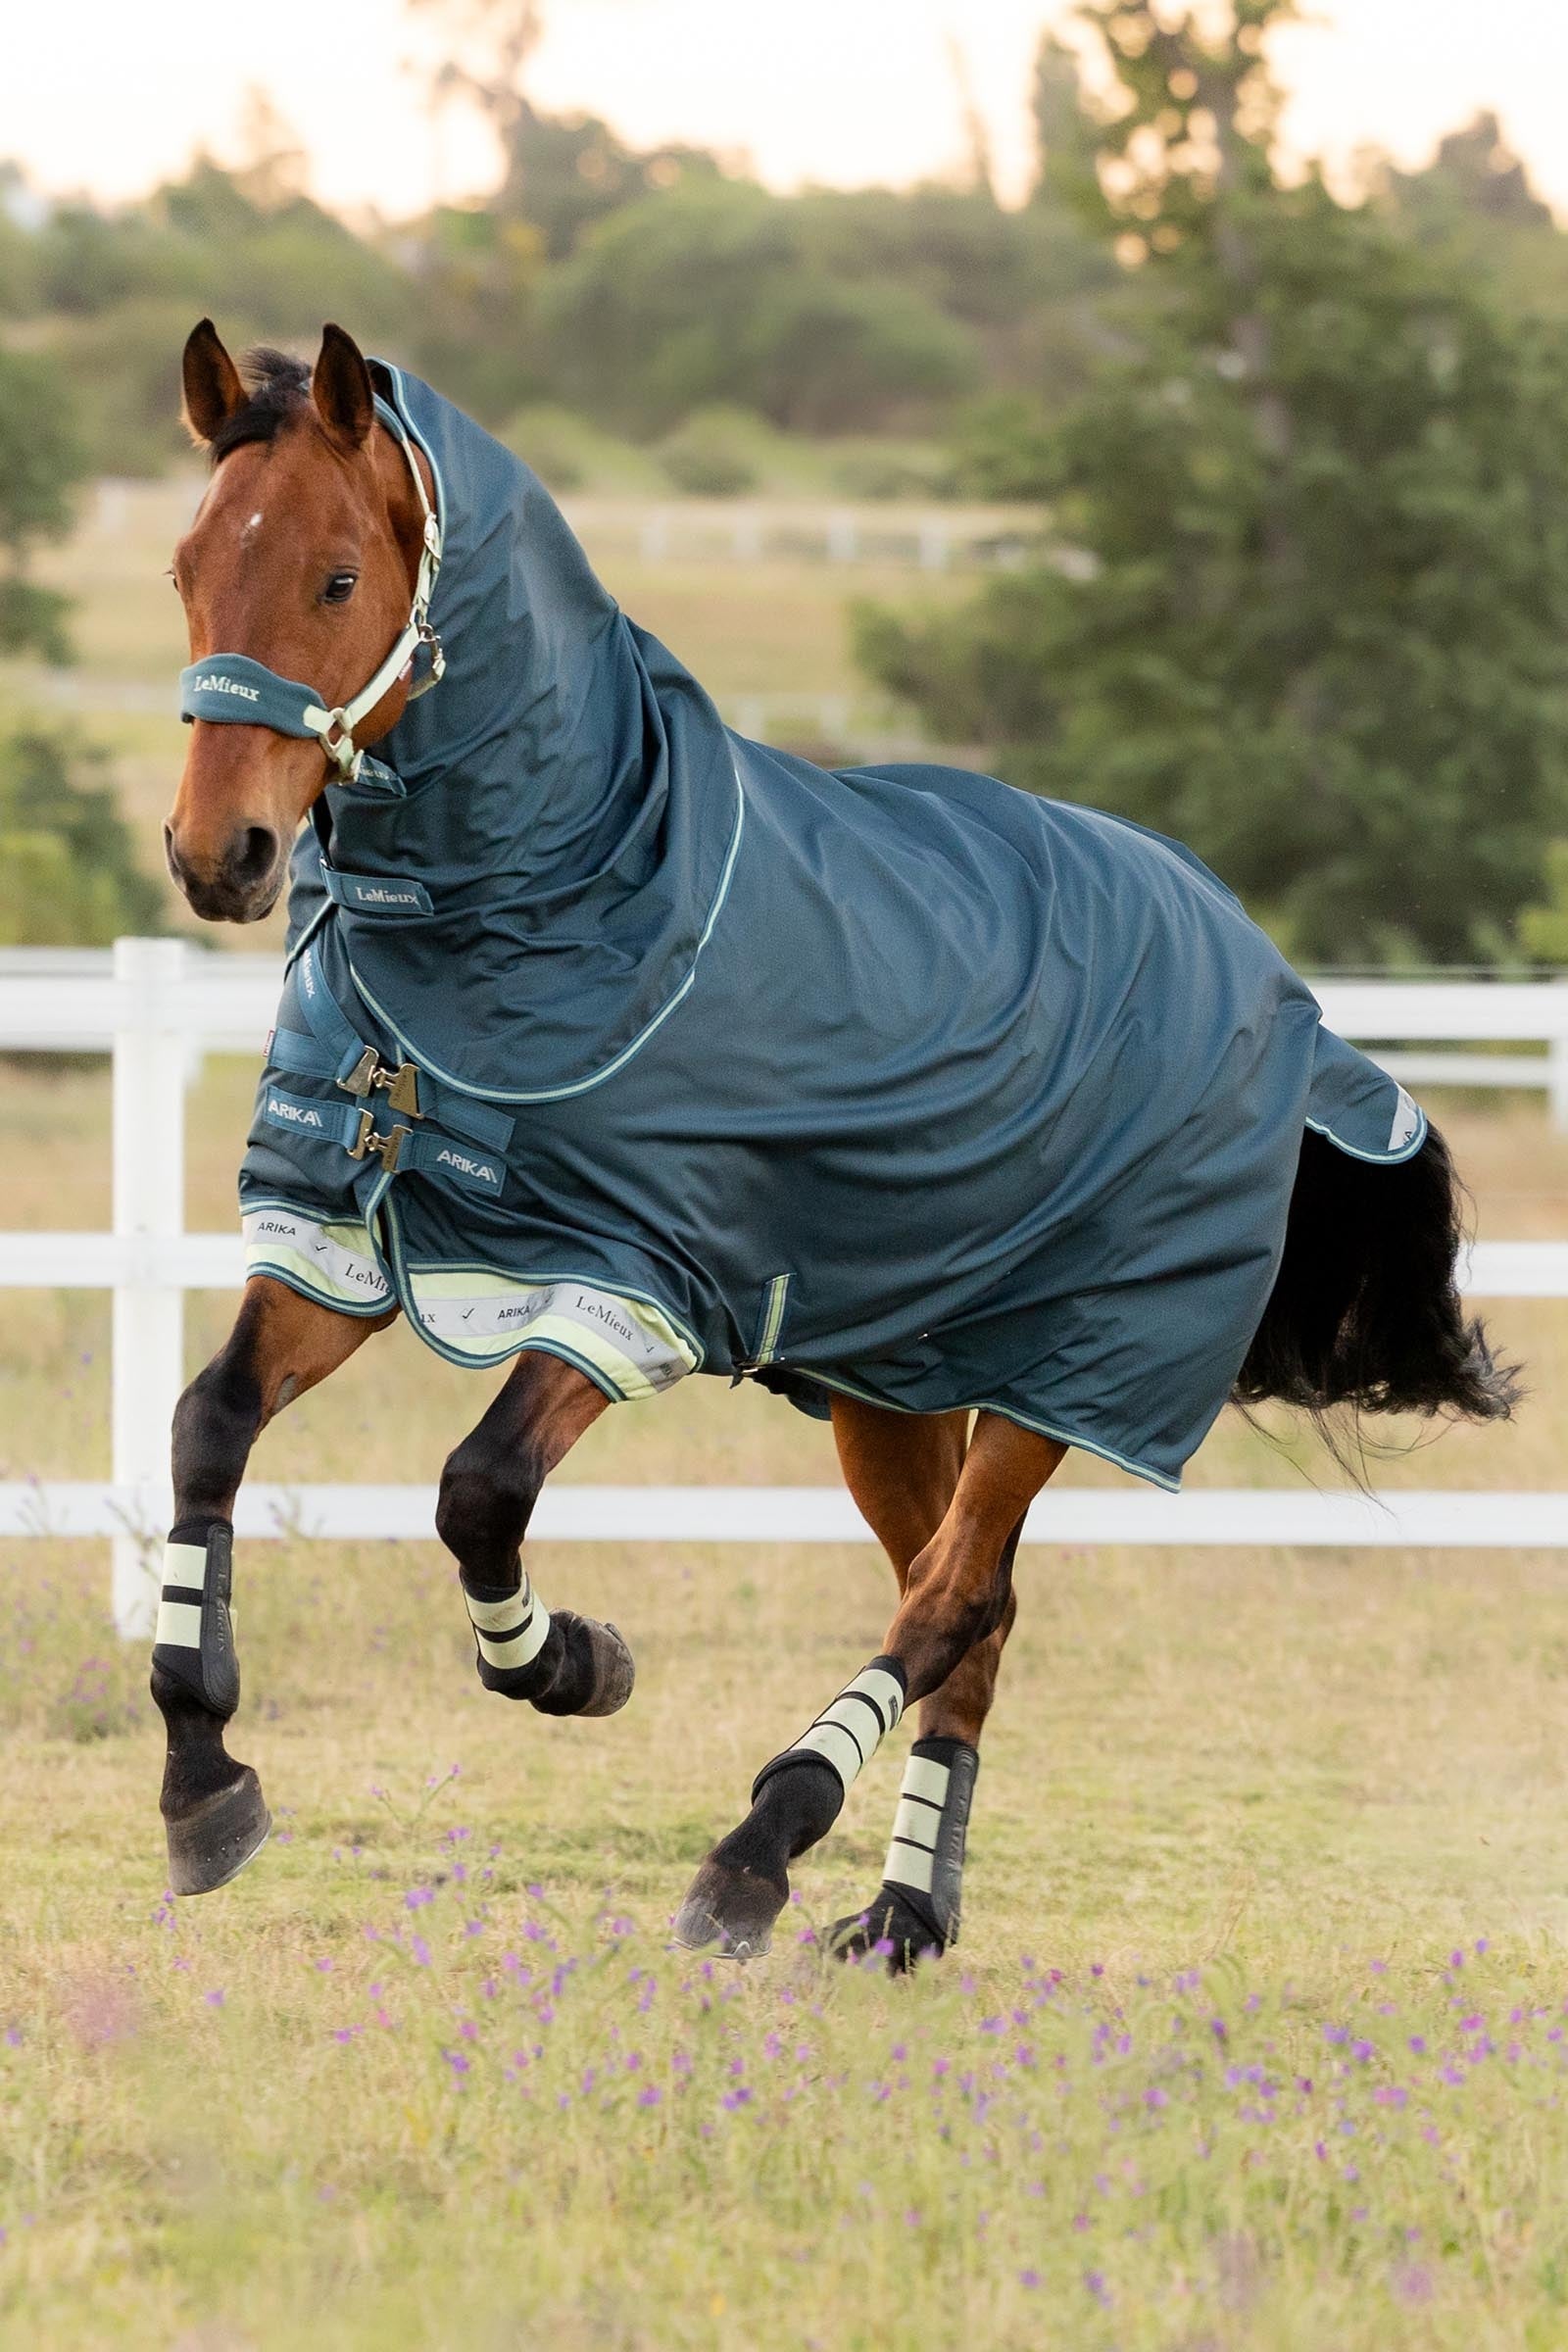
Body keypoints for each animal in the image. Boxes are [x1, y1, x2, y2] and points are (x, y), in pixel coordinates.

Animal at [157, 318, 1516, 1966]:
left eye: (338, 579)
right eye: (185, 568)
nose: (218, 856)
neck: (575, 897)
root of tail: (1270, 976)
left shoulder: (636, 1280)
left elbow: (478, 1490)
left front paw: (575, 1663)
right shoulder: (345, 1241)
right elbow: (212, 1425)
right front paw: (204, 1779)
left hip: (1065, 1377)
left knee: (945, 1607)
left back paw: (760, 1848)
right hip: (897, 1382)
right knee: (973, 1620)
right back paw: (902, 1915)